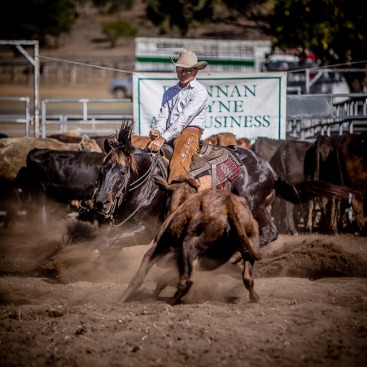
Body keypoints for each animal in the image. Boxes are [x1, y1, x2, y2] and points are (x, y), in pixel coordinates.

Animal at [91, 121, 354, 250]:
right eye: (102, 170)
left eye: (122, 171)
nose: (100, 202)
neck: (147, 185)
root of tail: (270, 170)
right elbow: (105, 243)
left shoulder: (145, 230)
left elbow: (107, 244)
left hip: (254, 204)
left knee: (269, 233)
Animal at [121, 175, 262, 304]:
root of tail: (228, 204)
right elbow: (165, 277)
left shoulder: (157, 247)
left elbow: (140, 275)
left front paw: (122, 298)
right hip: (248, 245)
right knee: (248, 278)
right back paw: (254, 297)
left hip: (189, 246)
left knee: (186, 281)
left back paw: (171, 301)